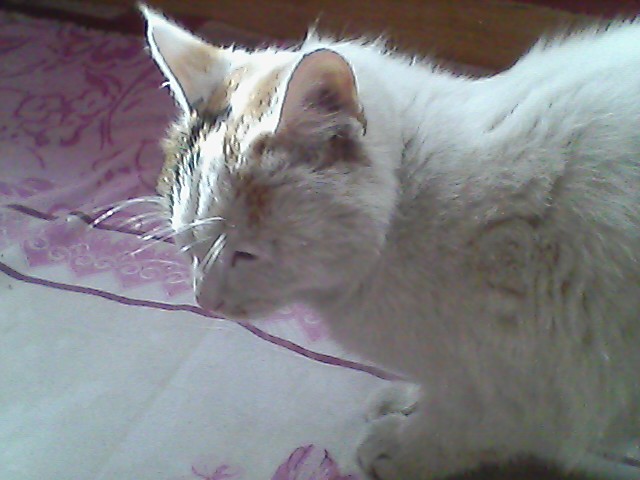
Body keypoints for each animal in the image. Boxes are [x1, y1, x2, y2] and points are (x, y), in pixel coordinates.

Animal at [140, 5, 640, 479]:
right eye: (188, 245)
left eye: (246, 254)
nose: (204, 300)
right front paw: (408, 399)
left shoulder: (533, 382)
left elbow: (462, 427)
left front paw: (400, 448)